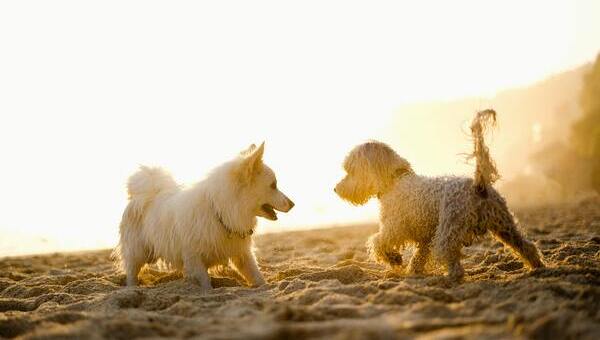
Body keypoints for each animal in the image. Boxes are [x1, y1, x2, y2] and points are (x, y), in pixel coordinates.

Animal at [113, 142, 294, 288]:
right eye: (273, 185)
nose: (293, 204)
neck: (221, 212)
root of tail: (142, 195)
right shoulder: (193, 258)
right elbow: (206, 283)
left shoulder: (242, 254)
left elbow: (256, 275)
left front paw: (266, 287)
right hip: (137, 252)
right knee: (131, 273)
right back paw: (132, 288)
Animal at [336, 110, 548, 280]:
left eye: (351, 170)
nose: (336, 189)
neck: (395, 180)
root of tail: (478, 185)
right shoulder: (425, 237)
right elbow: (418, 256)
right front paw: (413, 270)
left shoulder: (394, 227)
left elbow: (378, 242)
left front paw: (394, 259)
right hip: (504, 225)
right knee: (526, 245)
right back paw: (538, 267)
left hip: (449, 228)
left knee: (450, 255)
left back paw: (452, 277)